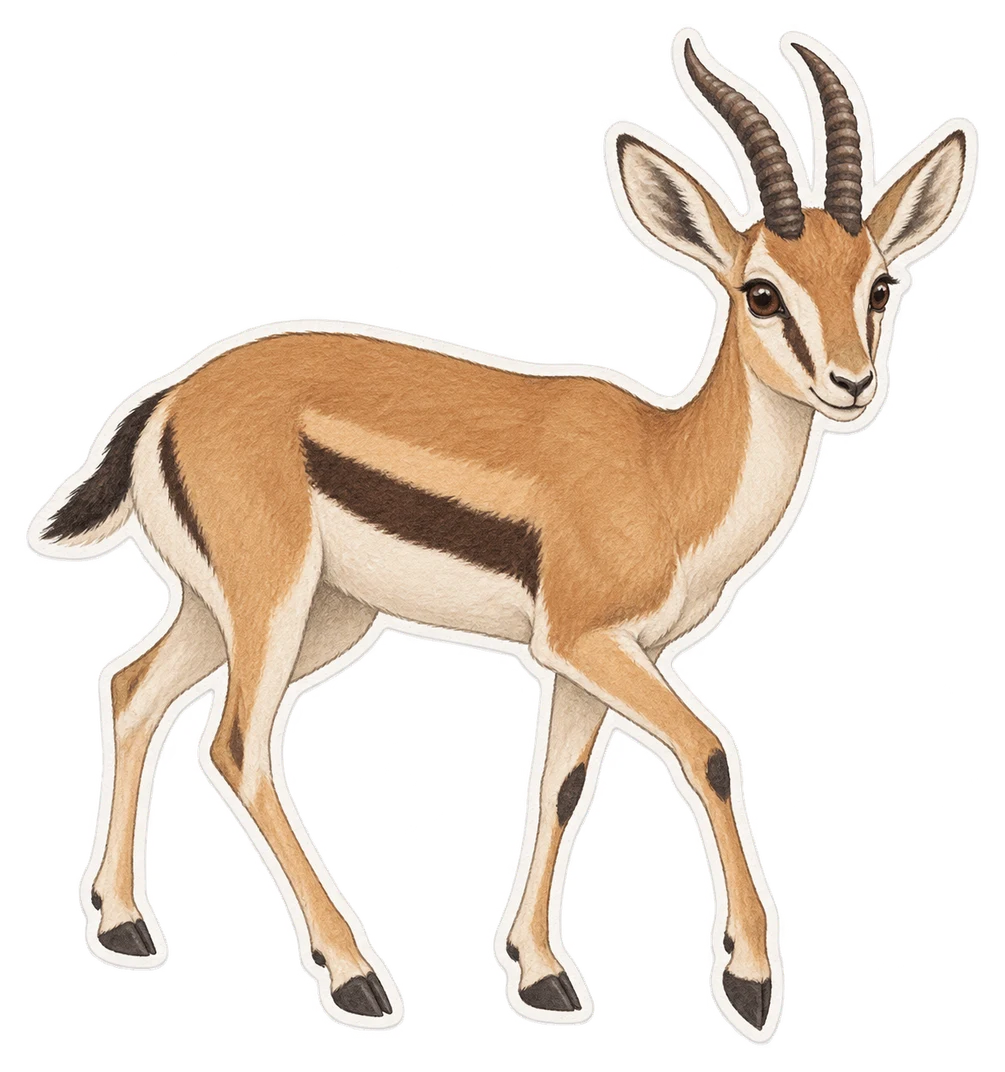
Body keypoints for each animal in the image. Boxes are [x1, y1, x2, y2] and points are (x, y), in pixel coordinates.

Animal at [29, 31, 973, 1040]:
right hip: (271, 604)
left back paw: (123, 926)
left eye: (877, 285)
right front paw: (750, 983)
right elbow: (711, 752)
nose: (852, 383)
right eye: (761, 292)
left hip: (287, 613)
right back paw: (354, 976)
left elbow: (560, 785)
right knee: (236, 745)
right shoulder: (587, 640)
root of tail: (170, 400)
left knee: (132, 689)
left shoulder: (602, 656)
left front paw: (540, 976)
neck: (664, 470)